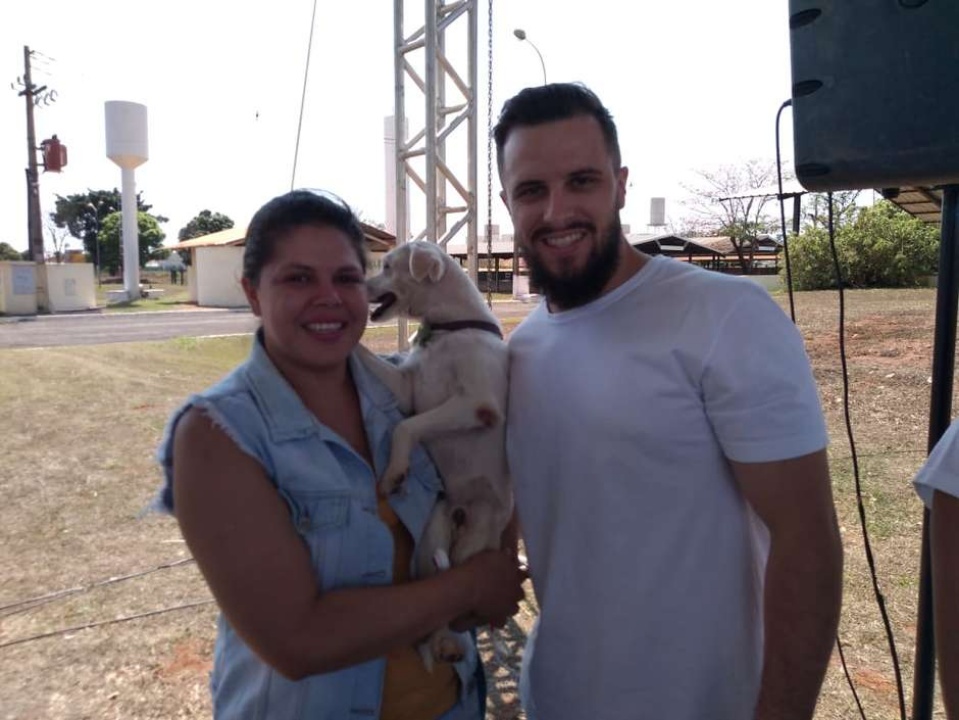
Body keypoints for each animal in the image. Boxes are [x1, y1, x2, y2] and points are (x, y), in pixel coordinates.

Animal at [358, 239, 510, 668]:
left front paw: (395, 472)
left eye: (387, 267)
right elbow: (364, 356)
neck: (446, 329)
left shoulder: (476, 405)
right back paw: (442, 644)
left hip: (476, 541)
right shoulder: (407, 388)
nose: (359, 285)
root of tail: (459, 514)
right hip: (431, 539)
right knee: (441, 594)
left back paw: (447, 644)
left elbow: (408, 427)